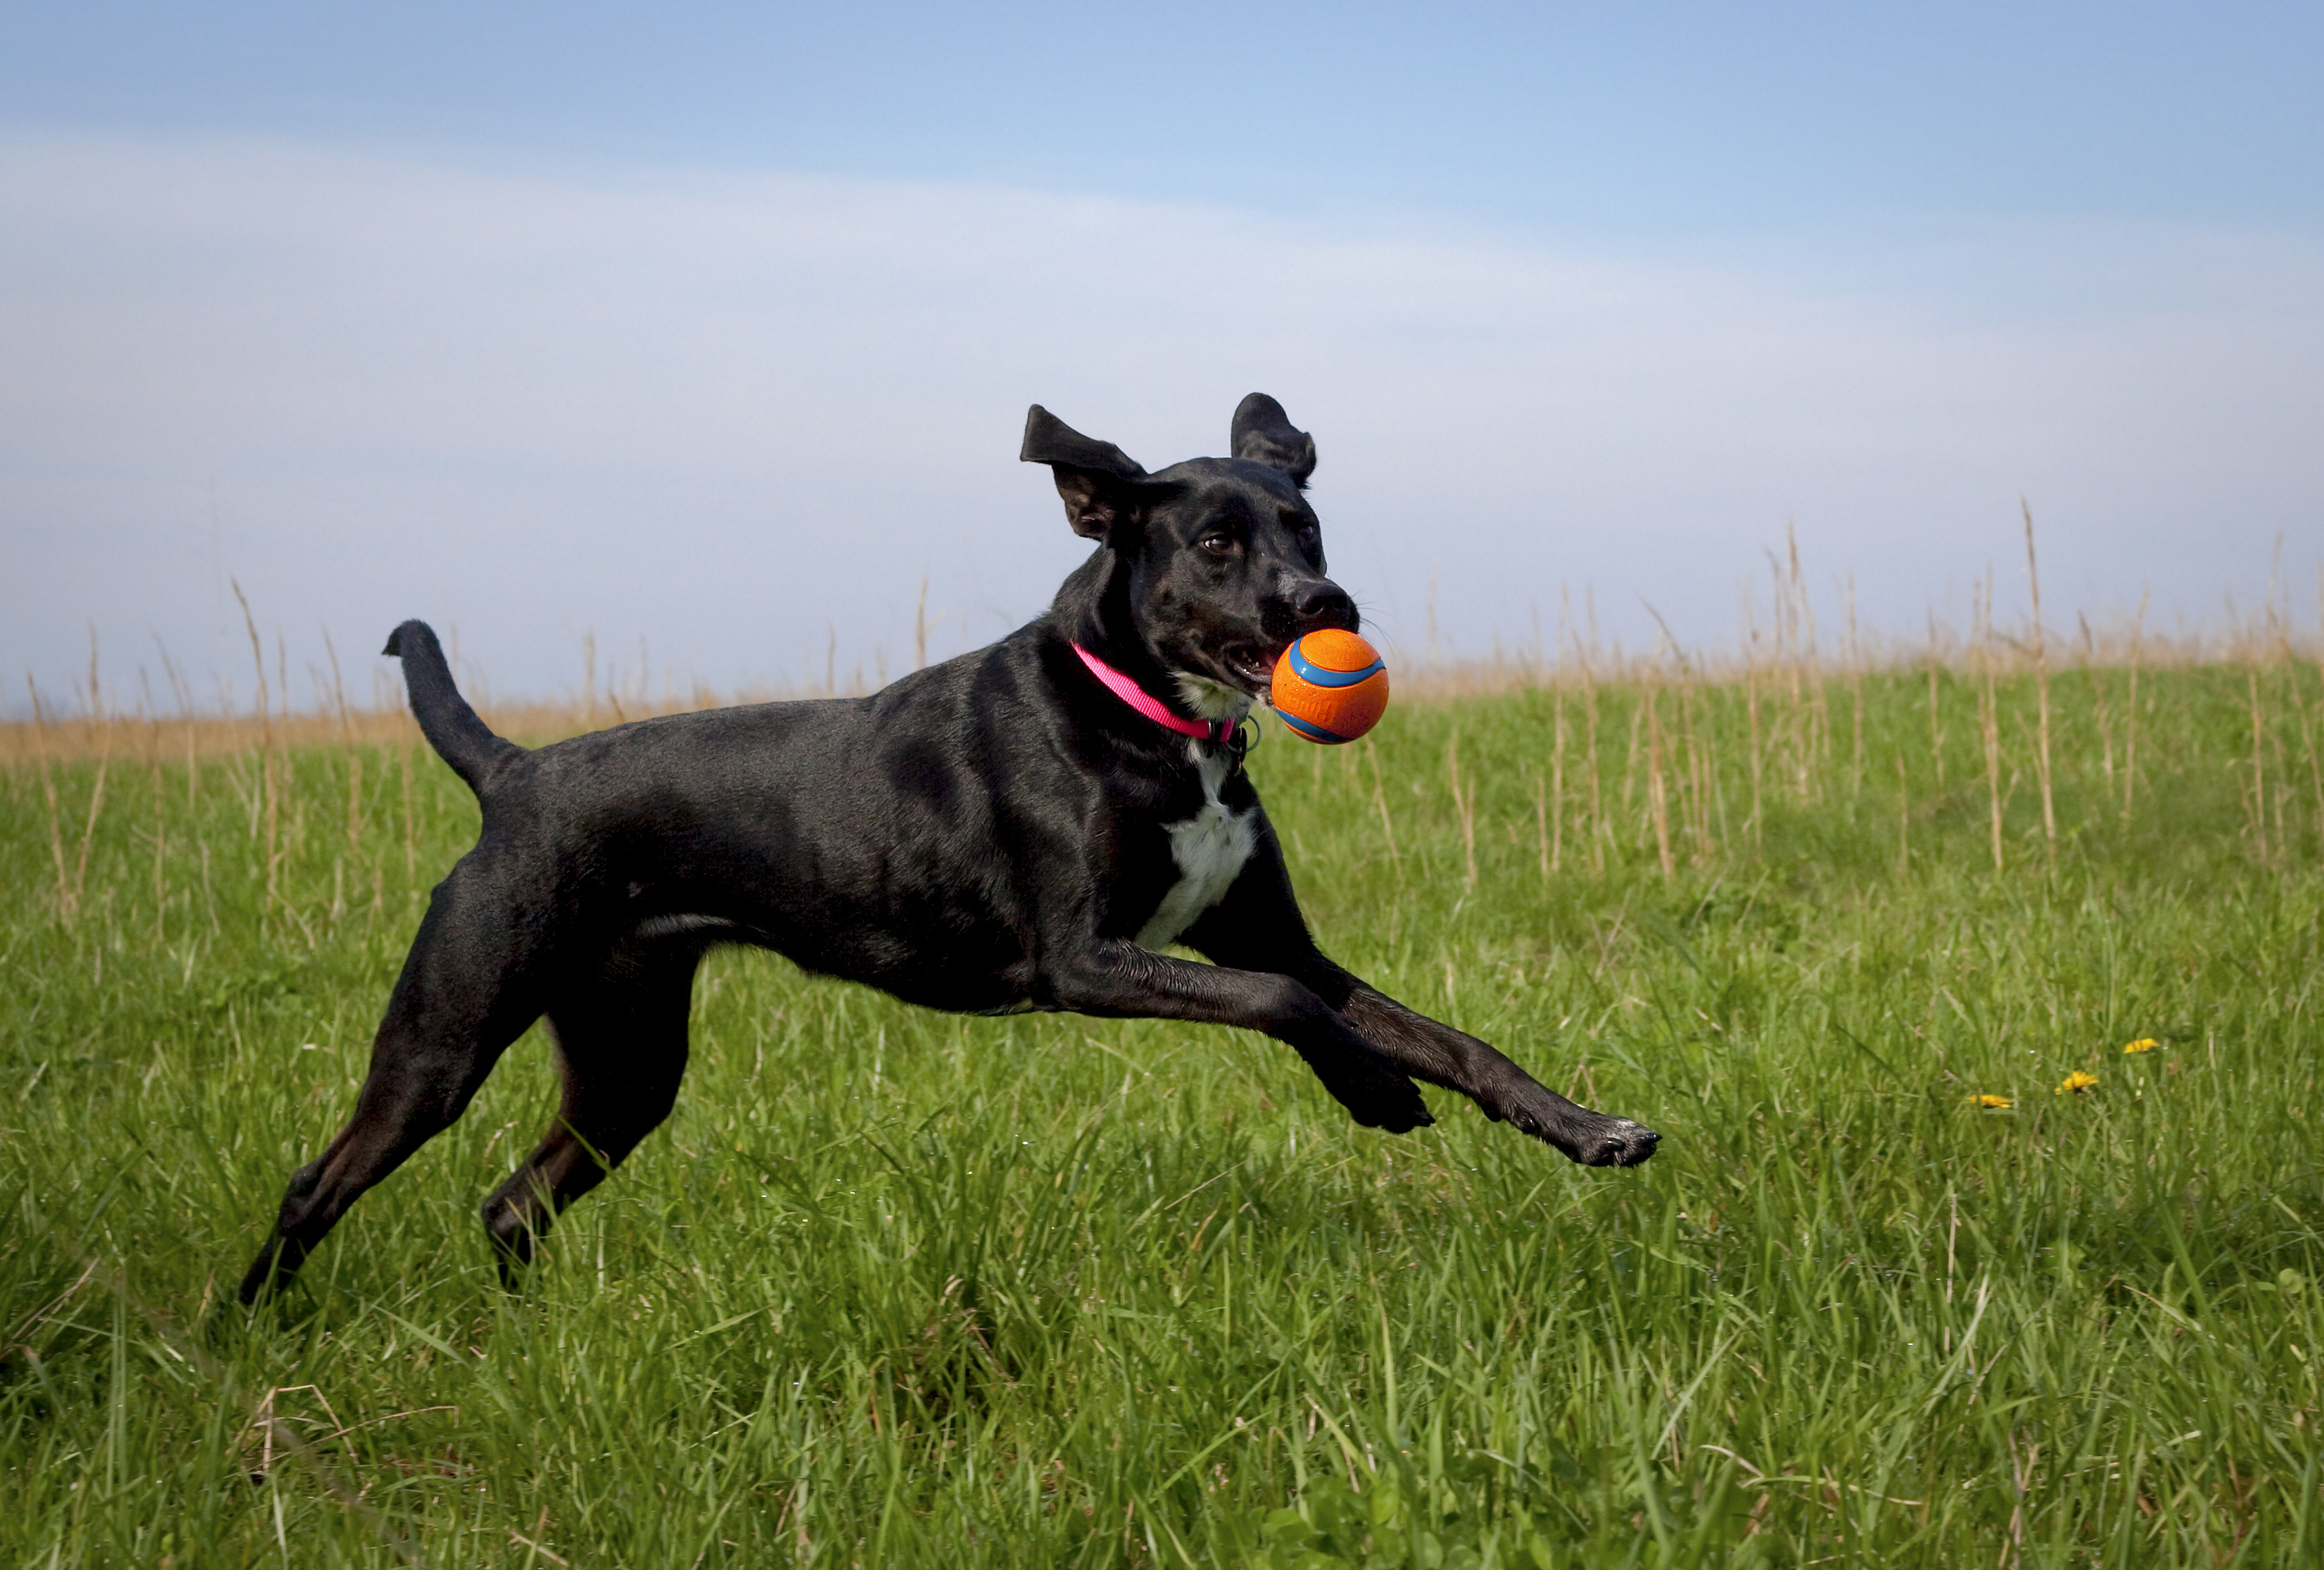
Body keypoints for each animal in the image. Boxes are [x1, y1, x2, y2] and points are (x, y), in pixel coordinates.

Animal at [240, 400, 1654, 1312]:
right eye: (1215, 543)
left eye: (1306, 524)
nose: (1328, 605)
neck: (1152, 717)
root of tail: (514, 771)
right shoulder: (1087, 959)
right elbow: (1286, 1005)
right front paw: (1372, 1092)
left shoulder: (1266, 932)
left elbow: (1450, 1037)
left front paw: (1589, 1129)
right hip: (451, 1025)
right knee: (319, 1180)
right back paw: (246, 1332)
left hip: (626, 1057)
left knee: (511, 1201)